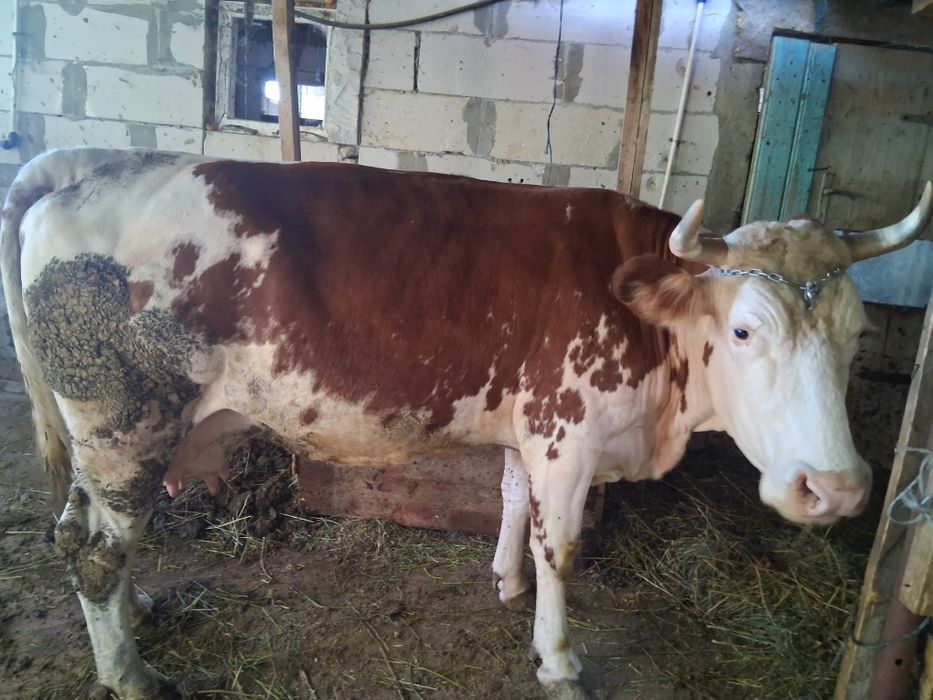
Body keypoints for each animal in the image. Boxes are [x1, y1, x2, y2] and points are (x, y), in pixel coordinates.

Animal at [1, 147, 930, 699]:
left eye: (856, 333)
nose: (836, 489)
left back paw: (138, 610)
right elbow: (562, 545)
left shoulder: (531, 427)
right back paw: (130, 675)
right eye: (743, 331)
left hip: (106, 441)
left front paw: (504, 581)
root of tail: (92, 170)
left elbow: (512, 500)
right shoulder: (567, 430)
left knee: (76, 532)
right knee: (94, 550)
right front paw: (558, 660)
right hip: (126, 425)